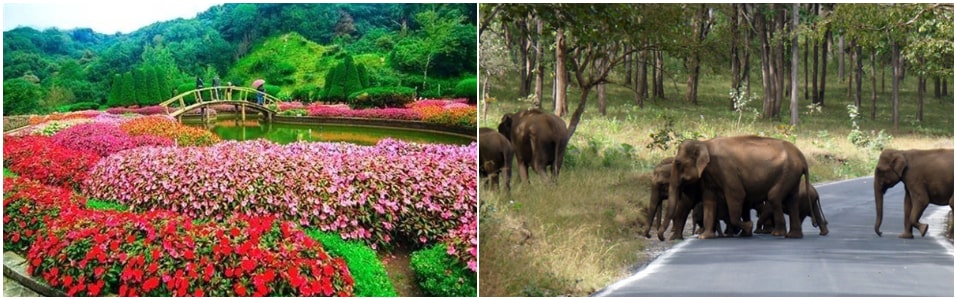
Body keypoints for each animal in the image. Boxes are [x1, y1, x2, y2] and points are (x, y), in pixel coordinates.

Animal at [660, 135, 812, 240]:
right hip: (792, 175)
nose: (661, 238)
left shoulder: (726, 170)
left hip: (787, 172)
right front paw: (705, 237)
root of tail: (802, 157)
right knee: (792, 201)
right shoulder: (709, 176)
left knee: (774, 197)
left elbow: (737, 195)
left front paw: (749, 227)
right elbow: (709, 199)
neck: (704, 143)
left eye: (678, 163)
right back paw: (793, 235)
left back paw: (778, 233)